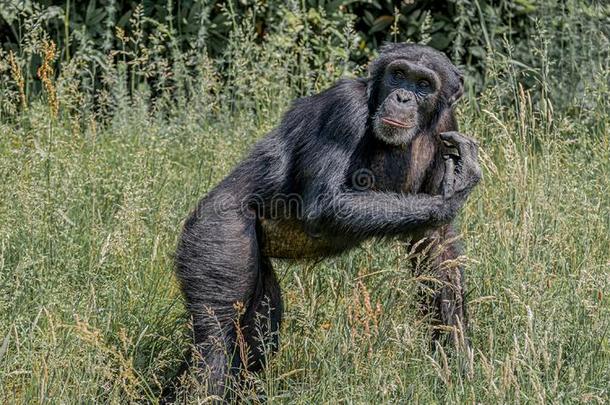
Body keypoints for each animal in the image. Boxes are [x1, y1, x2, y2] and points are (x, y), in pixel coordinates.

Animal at [175, 42, 480, 396]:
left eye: (424, 84)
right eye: (399, 74)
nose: (403, 96)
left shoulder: (447, 123)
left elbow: (438, 250)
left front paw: (458, 367)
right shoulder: (344, 108)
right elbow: (325, 204)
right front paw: (455, 192)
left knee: (260, 329)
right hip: (217, 234)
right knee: (216, 333)